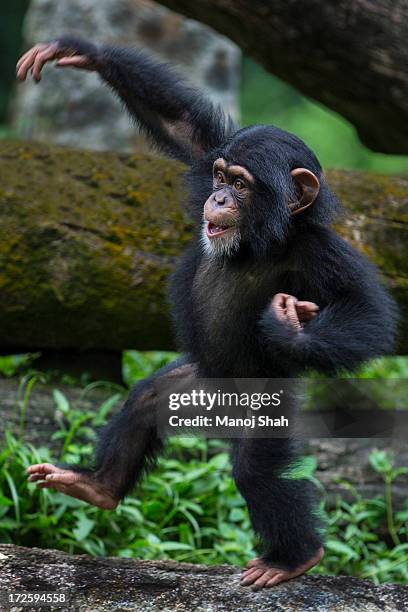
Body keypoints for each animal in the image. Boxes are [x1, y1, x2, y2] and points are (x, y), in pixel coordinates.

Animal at [17, 38, 396, 588]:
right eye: (219, 176)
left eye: (240, 185)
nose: (217, 197)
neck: (259, 240)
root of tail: (223, 402)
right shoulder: (203, 152)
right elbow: (184, 128)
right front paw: (80, 52)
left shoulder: (321, 251)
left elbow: (366, 311)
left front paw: (289, 327)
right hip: (196, 384)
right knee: (147, 399)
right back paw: (96, 485)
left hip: (263, 405)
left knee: (255, 469)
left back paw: (293, 558)